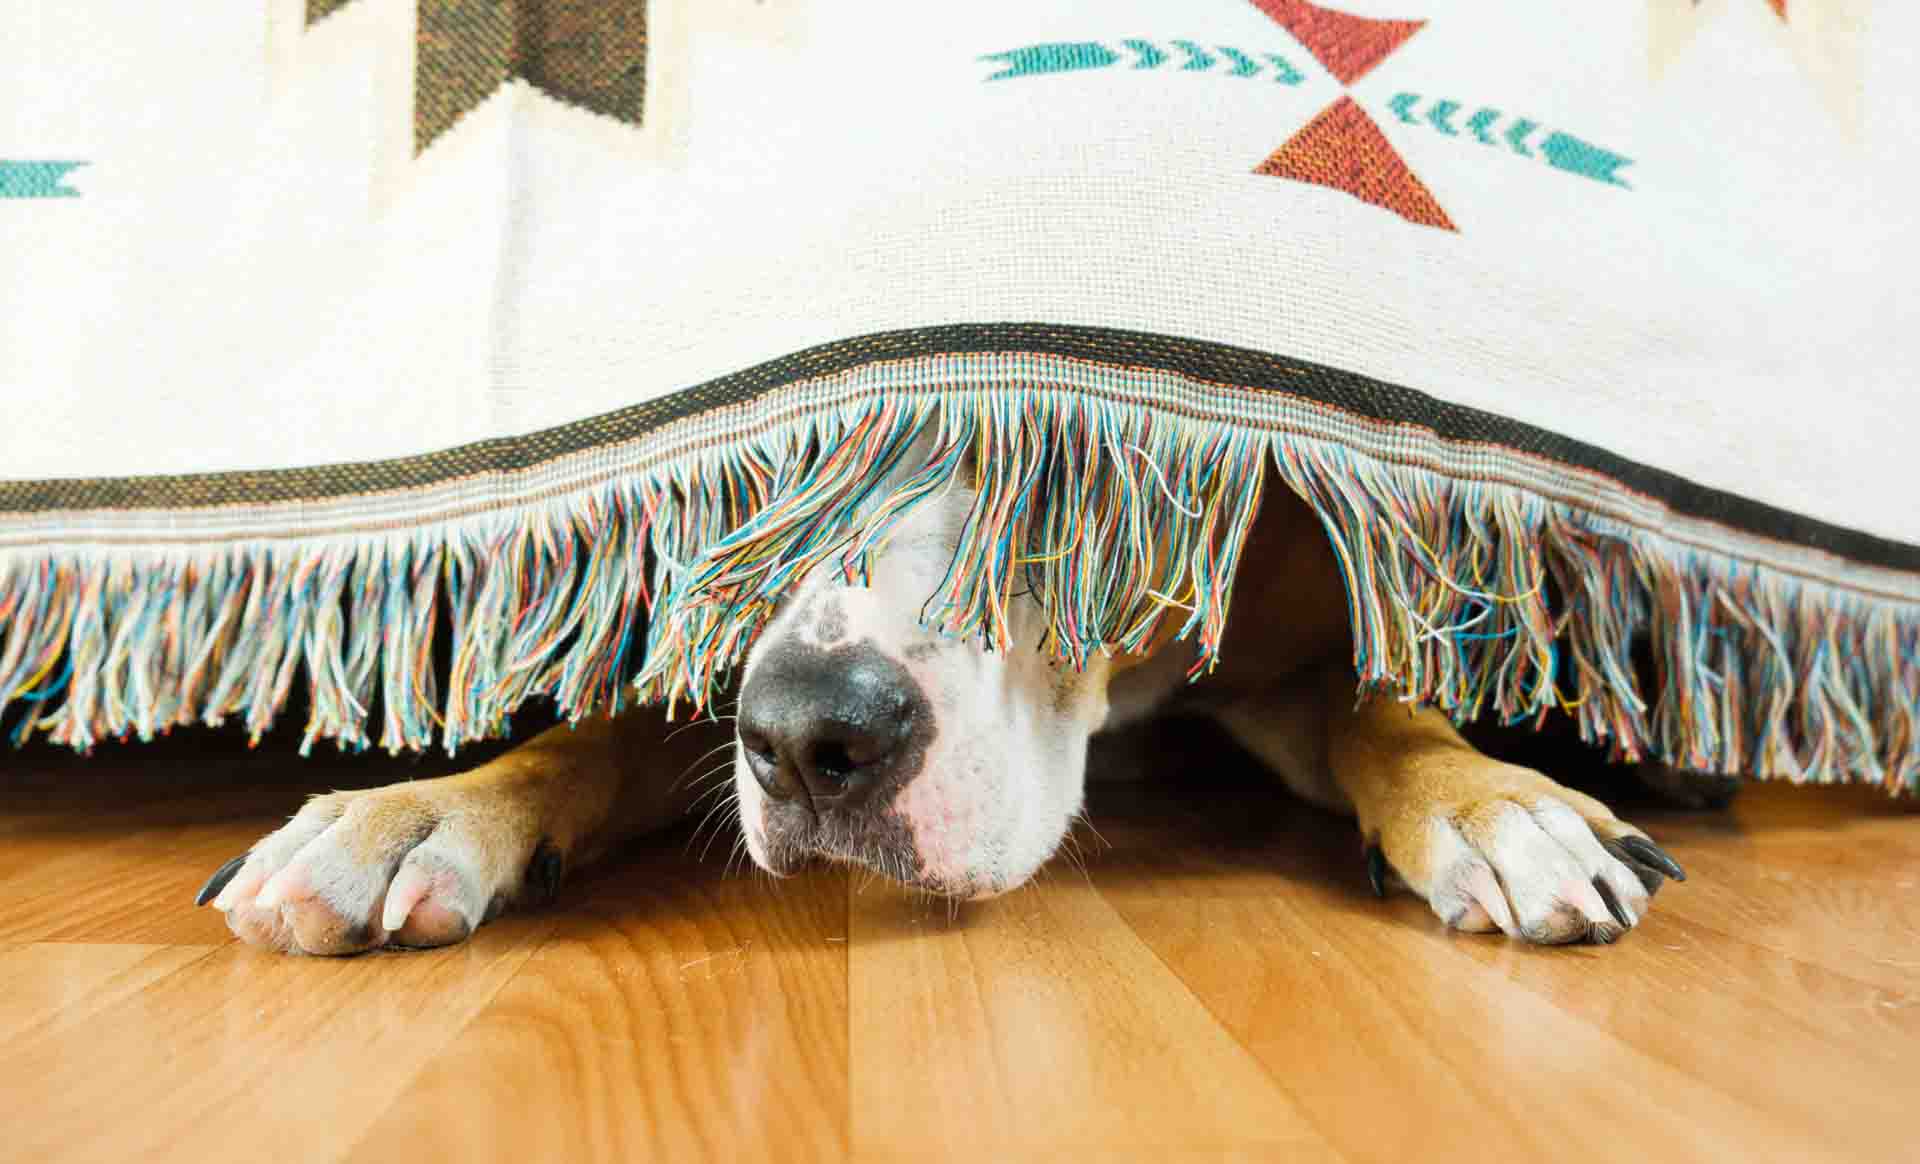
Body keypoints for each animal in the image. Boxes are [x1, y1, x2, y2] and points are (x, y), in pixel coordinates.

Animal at [202, 447, 1689, 956]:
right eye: (784, 465)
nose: (811, 738)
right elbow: (590, 736)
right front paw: (415, 815)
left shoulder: (1294, 646)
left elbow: (1391, 711)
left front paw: (1497, 807)